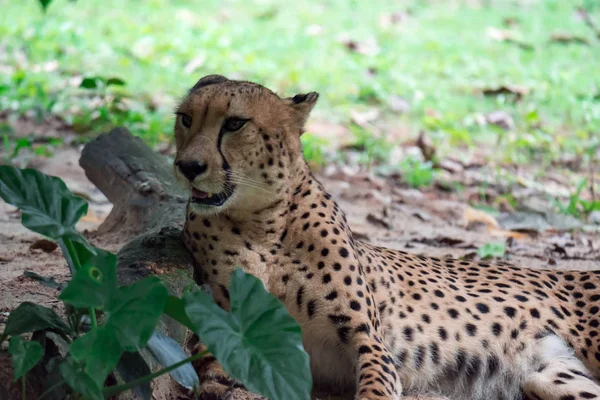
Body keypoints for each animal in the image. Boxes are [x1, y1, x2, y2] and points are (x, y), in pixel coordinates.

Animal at [173, 75, 600, 400]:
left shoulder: (370, 342)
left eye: (234, 124)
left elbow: (375, 387)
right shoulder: (226, 322)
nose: (187, 166)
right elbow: (210, 356)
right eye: (185, 119)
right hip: (550, 376)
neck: (264, 224)